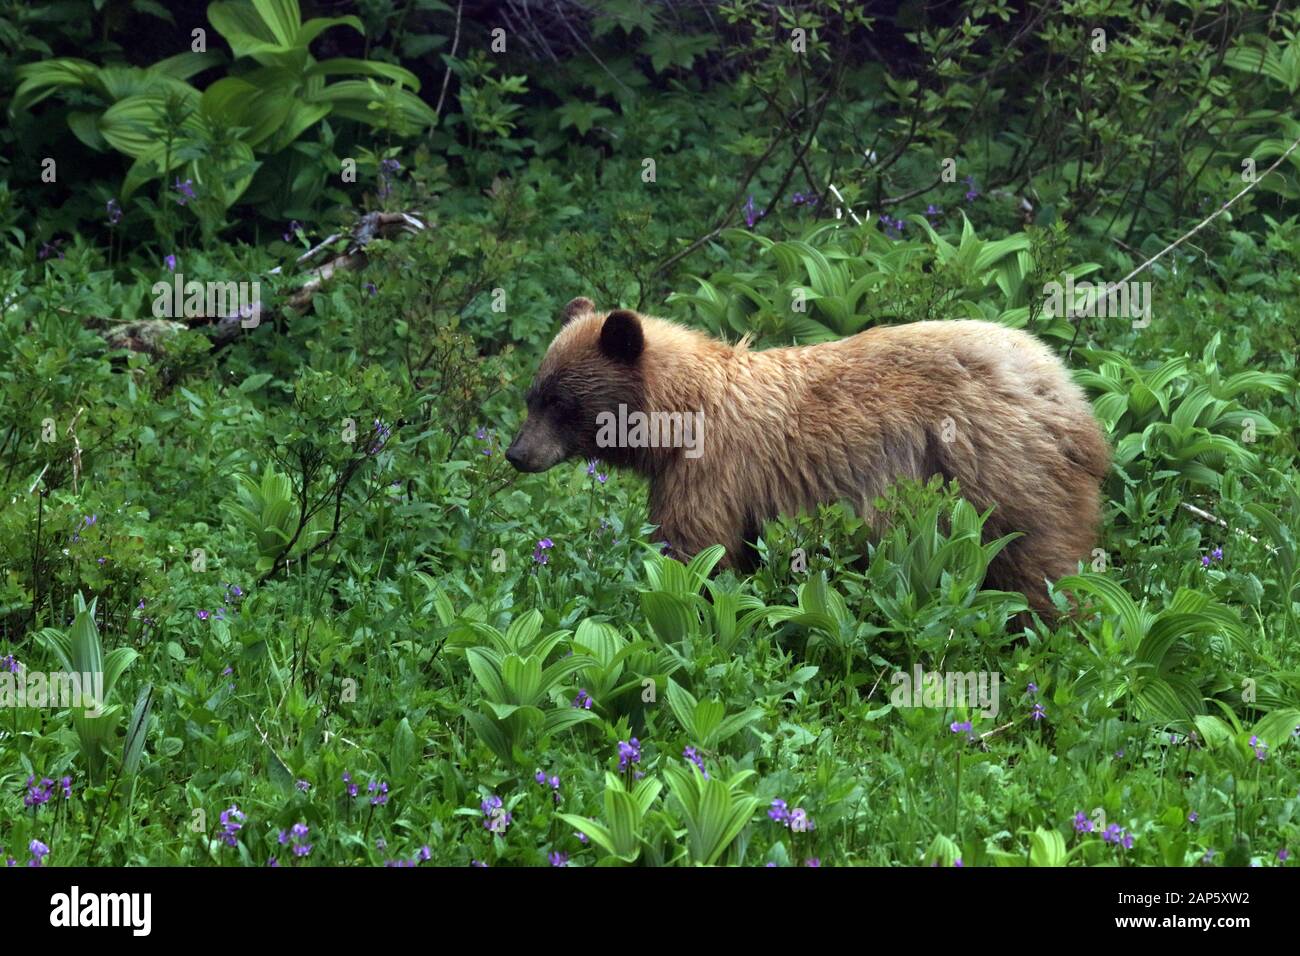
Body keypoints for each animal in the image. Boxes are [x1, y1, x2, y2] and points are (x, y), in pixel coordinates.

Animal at [506, 296, 1110, 612]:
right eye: (533, 395)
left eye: (559, 402)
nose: (516, 453)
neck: (679, 417)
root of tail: (1069, 394)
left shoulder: (713, 470)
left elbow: (698, 547)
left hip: (997, 470)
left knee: (1038, 561)